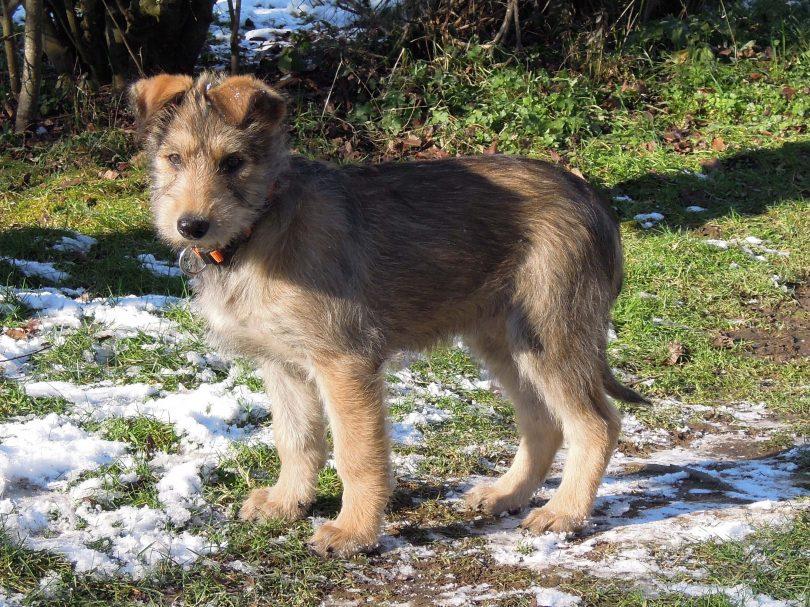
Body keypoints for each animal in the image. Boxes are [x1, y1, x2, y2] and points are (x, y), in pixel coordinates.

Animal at [129, 73, 644, 560]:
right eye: (174, 159)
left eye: (233, 163)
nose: (190, 226)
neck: (262, 227)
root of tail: (589, 196)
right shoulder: (282, 365)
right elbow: (295, 440)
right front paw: (287, 502)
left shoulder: (344, 362)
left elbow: (356, 455)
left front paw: (354, 532)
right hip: (506, 343)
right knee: (543, 424)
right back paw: (507, 494)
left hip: (550, 337)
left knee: (596, 424)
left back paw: (564, 512)